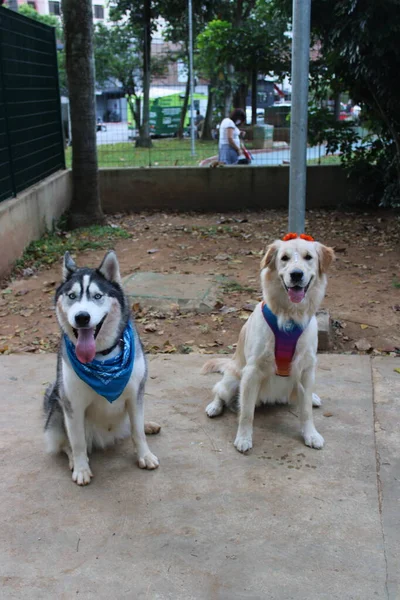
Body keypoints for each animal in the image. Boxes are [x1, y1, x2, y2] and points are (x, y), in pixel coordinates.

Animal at [43, 251, 159, 486]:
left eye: (97, 296)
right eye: (72, 296)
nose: (82, 317)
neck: (103, 358)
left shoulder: (135, 393)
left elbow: (137, 432)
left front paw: (145, 455)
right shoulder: (73, 404)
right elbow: (77, 442)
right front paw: (81, 468)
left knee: (133, 425)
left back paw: (148, 424)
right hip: (57, 407)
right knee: (65, 443)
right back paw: (74, 460)